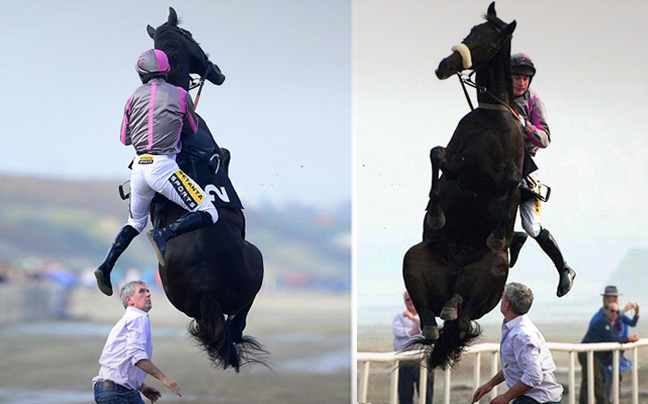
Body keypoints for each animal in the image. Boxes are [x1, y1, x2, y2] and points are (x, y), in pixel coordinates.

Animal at [402, 2, 524, 370]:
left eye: (490, 40)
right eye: (470, 32)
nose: (445, 66)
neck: (491, 115)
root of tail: (454, 273)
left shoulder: (498, 173)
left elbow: (513, 181)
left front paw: (498, 234)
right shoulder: (460, 161)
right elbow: (437, 154)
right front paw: (436, 215)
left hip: (493, 272)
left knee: (465, 315)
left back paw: (455, 306)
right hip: (416, 259)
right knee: (432, 317)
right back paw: (436, 317)